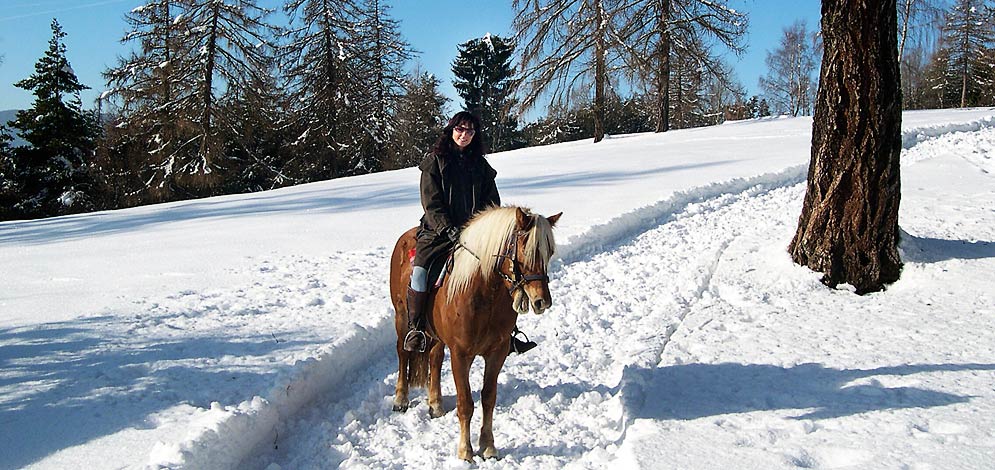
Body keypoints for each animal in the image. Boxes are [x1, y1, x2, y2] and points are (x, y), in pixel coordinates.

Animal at [390, 207, 560, 462]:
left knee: (434, 359)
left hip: (437, 337)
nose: (542, 301)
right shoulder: (461, 355)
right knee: (403, 353)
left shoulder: (497, 352)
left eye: (549, 252)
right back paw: (400, 399)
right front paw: (465, 451)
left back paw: (436, 403)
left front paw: (488, 446)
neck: (483, 293)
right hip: (401, 319)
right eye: (525, 251)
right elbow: (466, 403)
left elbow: (488, 398)